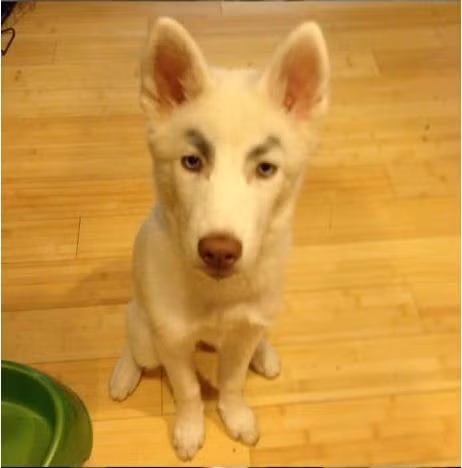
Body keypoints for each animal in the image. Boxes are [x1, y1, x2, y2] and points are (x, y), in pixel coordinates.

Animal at [109, 17, 330, 460]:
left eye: (265, 168)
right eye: (192, 161)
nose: (219, 252)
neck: (218, 297)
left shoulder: (242, 333)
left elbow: (231, 381)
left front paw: (236, 415)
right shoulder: (172, 342)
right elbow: (189, 390)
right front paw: (190, 428)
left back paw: (265, 353)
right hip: (143, 329)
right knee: (136, 345)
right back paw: (124, 373)